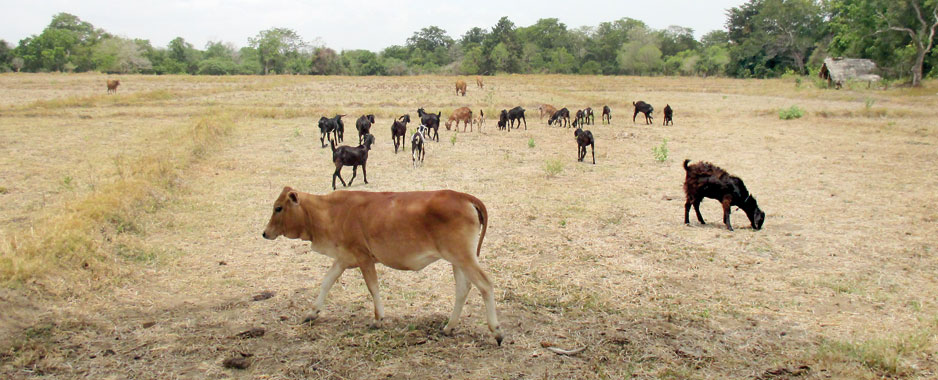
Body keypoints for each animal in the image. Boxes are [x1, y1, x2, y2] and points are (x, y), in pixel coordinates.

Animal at [260, 187, 500, 344]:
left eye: (278, 208)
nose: (264, 233)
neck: (330, 212)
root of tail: (462, 196)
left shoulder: (364, 257)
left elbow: (373, 287)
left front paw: (377, 319)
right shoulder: (343, 258)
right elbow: (326, 282)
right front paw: (312, 312)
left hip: (463, 256)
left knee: (485, 285)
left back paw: (496, 332)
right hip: (457, 260)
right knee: (463, 289)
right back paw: (449, 327)